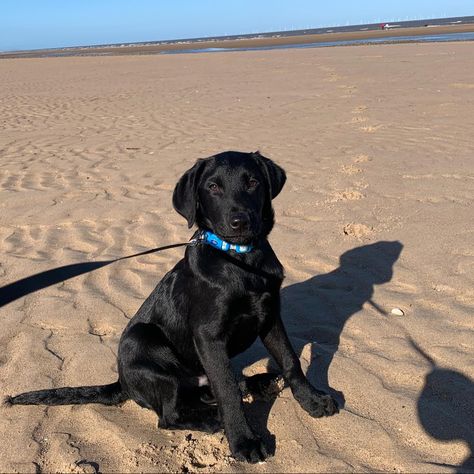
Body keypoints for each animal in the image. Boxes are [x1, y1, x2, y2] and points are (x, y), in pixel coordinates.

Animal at [9, 152, 338, 462]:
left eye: (253, 182)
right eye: (213, 187)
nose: (240, 222)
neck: (241, 260)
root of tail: (123, 382)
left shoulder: (270, 317)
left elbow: (290, 360)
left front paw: (312, 400)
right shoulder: (209, 336)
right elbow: (227, 390)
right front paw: (243, 440)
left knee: (209, 390)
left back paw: (259, 383)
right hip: (142, 341)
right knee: (171, 414)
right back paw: (214, 418)